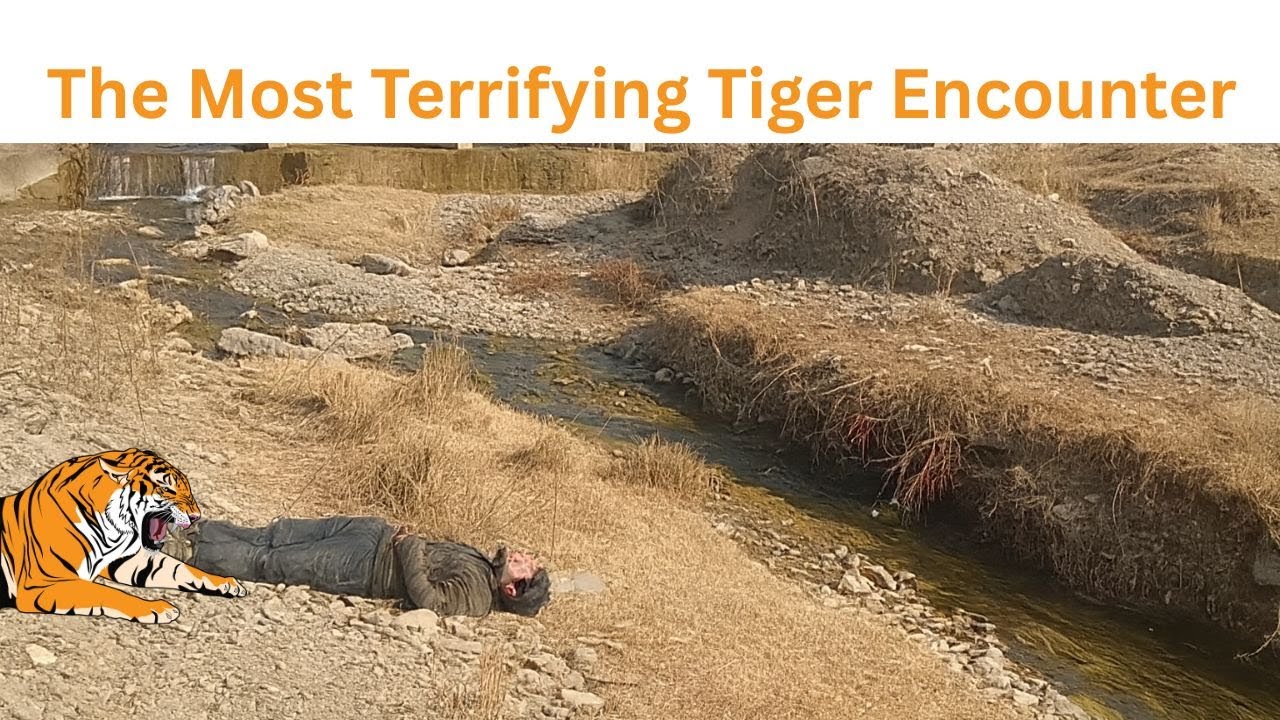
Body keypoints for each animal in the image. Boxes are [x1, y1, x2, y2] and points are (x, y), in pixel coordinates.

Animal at [0, 448, 246, 624]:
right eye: (168, 489)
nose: (196, 516)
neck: (113, 531)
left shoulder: (126, 559)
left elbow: (180, 568)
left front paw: (227, 582)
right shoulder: (43, 582)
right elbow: (106, 592)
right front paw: (157, 608)